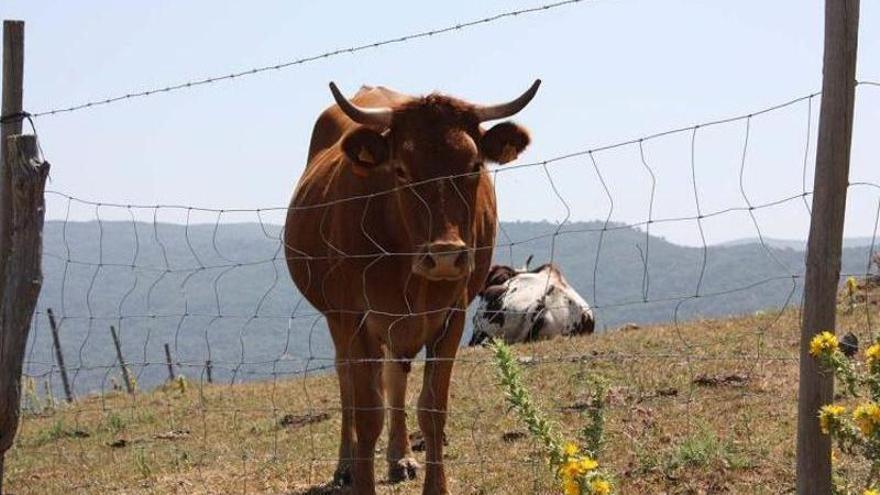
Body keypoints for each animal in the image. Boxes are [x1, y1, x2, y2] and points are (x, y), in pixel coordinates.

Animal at [286, 79, 540, 494]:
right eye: (402, 170)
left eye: (474, 166)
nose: (445, 256)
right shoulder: (354, 317)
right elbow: (367, 412)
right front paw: (362, 481)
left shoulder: (452, 315)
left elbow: (432, 407)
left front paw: (436, 485)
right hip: (339, 320)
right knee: (347, 382)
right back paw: (346, 466)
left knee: (394, 375)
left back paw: (400, 457)